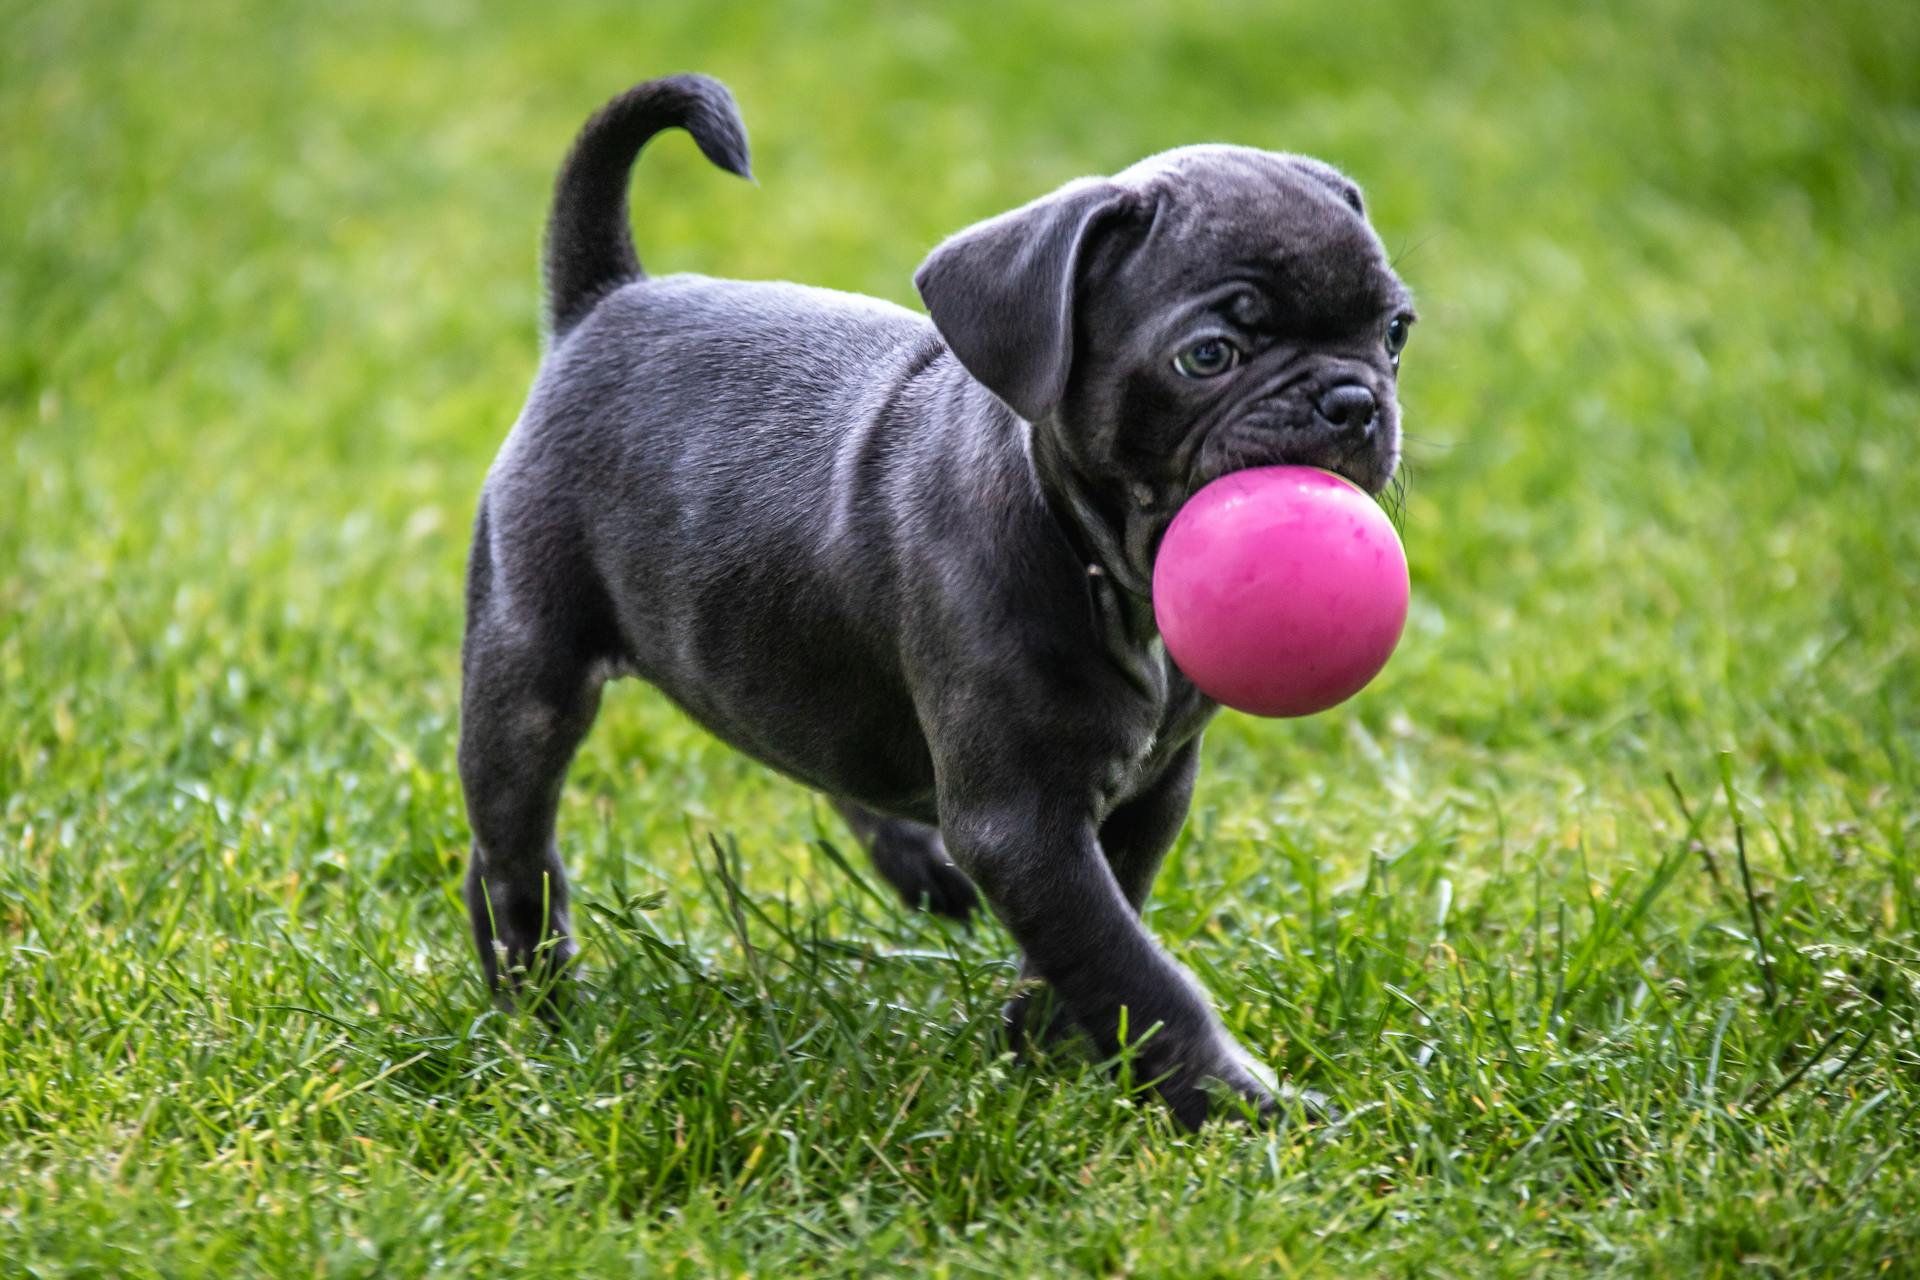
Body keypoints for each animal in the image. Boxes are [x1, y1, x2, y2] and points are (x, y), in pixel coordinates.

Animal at [453, 77, 1413, 1128]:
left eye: (1394, 333)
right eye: (1209, 355)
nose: (1353, 401)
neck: (1094, 556)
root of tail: (604, 300)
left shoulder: (1149, 792)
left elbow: (1103, 926)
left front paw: (1043, 1046)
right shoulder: (1025, 822)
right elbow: (1135, 967)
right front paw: (1235, 1103)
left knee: (832, 752)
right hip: (528, 671)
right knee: (512, 851)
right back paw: (533, 1002)